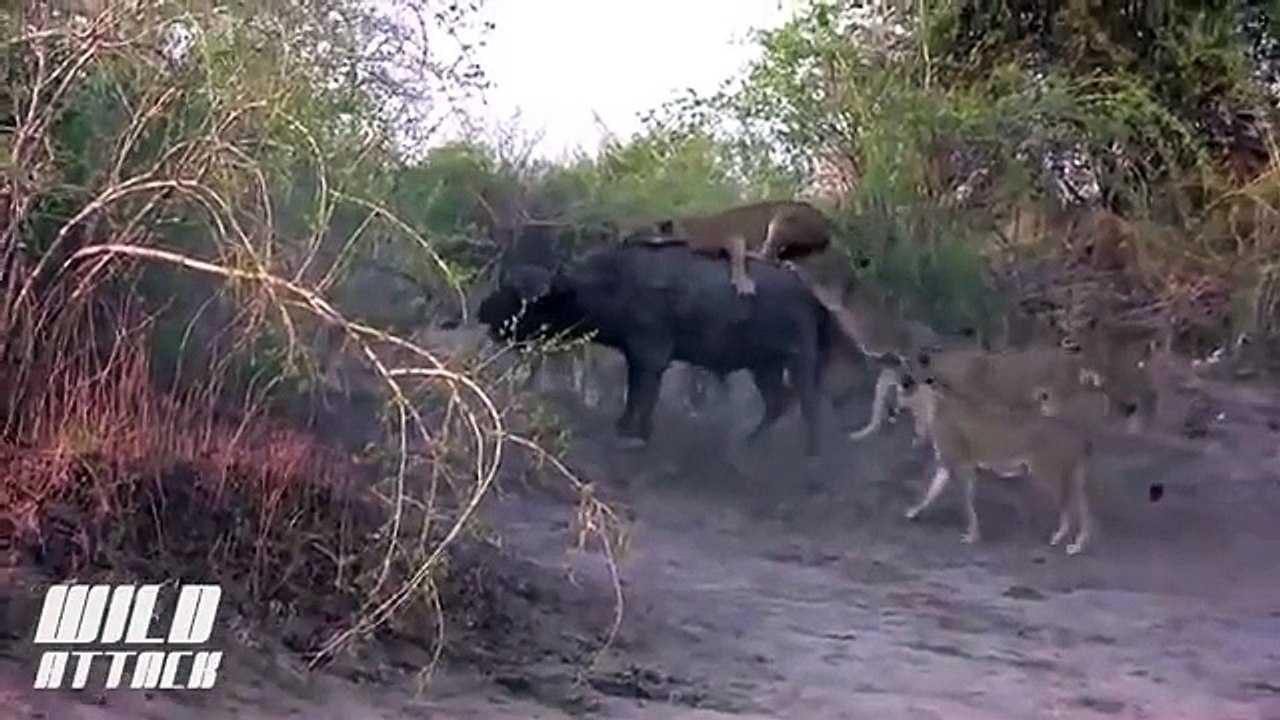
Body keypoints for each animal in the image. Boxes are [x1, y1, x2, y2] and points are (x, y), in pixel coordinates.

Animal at [477, 242, 869, 456]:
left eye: (517, 294)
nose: (482, 309)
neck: (615, 282)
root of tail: (812, 294)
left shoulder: (651, 355)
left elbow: (645, 396)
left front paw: (637, 435)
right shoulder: (636, 356)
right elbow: (634, 393)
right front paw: (624, 428)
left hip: (799, 359)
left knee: (810, 406)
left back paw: (810, 455)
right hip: (765, 365)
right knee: (779, 402)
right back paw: (749, 444)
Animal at [625, 200, 834, 296]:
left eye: (636, 231)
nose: (624, 238)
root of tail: (826, 225)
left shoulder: (733, 237)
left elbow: (737, 260)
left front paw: (742, 283)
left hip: (783, 219)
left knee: (768, 255)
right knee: (776, 257)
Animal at [894, 373, 1096, 555]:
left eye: (899, 395)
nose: (894, 409)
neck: (932, 404)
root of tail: (1076, 436)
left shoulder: (964, 465)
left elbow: (966, 500)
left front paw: (972, 535)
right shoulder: (946, 464)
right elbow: (931, 492)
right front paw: (913, 512)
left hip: (1047, 473)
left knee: (1069, 505)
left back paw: (1067, 540)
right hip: (1072, 474)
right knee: (1083, 506)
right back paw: (1076, 542)